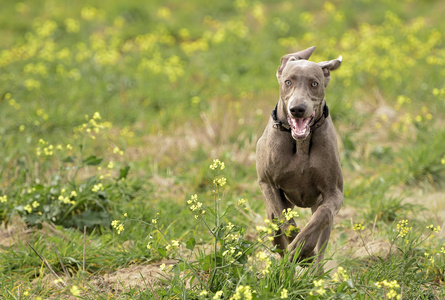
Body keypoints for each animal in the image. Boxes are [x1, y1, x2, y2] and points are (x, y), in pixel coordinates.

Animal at [255, 45, 342, 264]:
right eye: (288, 82)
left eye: (314, 83)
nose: (297, 109)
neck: (301, 143)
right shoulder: (268, 184)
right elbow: (286, 222)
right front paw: (302, 253)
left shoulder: (334, 192)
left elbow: (322, 216)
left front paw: (304, 248)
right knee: (277, 233)